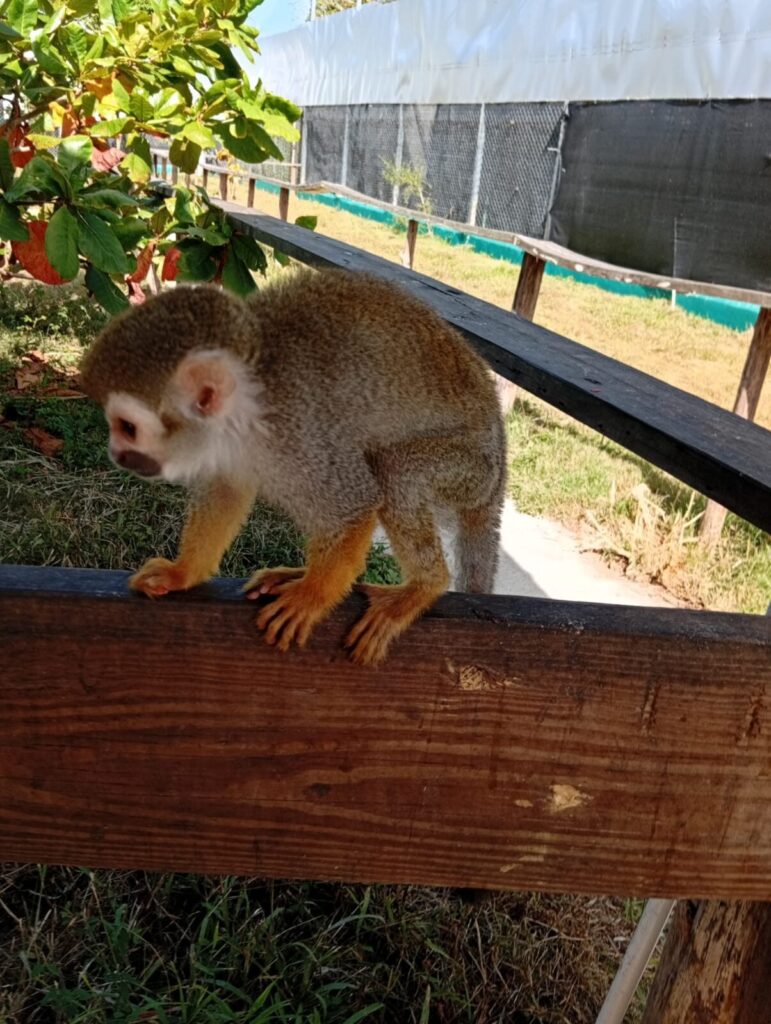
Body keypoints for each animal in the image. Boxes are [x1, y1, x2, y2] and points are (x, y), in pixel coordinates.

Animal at [79, 268, 506, 666]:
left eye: (127, 427)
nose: (115, 453)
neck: (249, 410)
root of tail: (500, 461)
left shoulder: (301, 434)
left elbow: (355, 506)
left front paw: (312, 597)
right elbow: (226, 493)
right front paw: (183, 572)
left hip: (469, 471)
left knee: (394, 469)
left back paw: (423, 587)